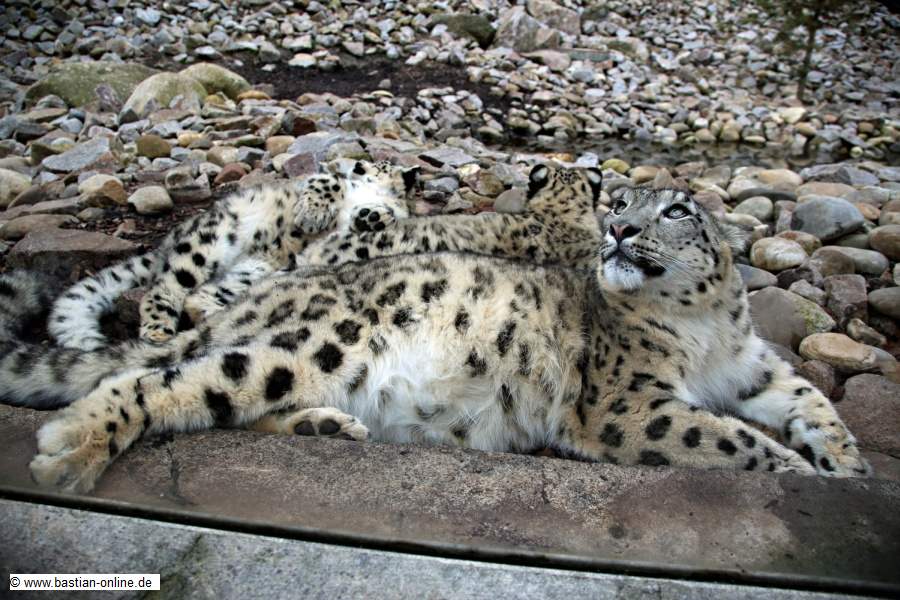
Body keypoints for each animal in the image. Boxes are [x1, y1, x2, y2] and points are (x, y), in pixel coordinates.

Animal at [0, 186, 871, 494]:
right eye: (622, 202)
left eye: (676, 210)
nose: (620, 227)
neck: (705, 334)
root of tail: (253, 298)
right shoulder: (629, 403)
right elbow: (727, 438)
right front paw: (804, 473)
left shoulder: (753, 369)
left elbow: (809, 398)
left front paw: (847, 463)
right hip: (317, 344)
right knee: (159, 381)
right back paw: (74, 447)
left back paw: (328, 427)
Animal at [47, 160, 418, 352]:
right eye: (363, 163)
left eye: (380, 163)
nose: (356, 163)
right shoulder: (320, 179)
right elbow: (326, 181)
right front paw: (312, 213)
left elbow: (388, 212)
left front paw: (371, 216)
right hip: (210, 239)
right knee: (167, 287)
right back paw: (158, 330)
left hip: (250, 269)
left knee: (200, 296)